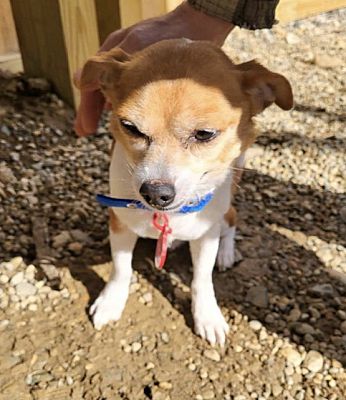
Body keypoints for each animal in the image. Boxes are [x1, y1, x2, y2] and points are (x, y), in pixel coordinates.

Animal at [79, 39, 292, 346]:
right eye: (130, 127)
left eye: (204, 134)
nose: (155, 192)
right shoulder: (120, 223)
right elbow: (121, 268)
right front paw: (111, 302)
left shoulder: (206, 236)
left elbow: (201, 279)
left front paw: (207, 316)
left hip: (223, 215)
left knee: (232, 221)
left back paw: (226, 254)